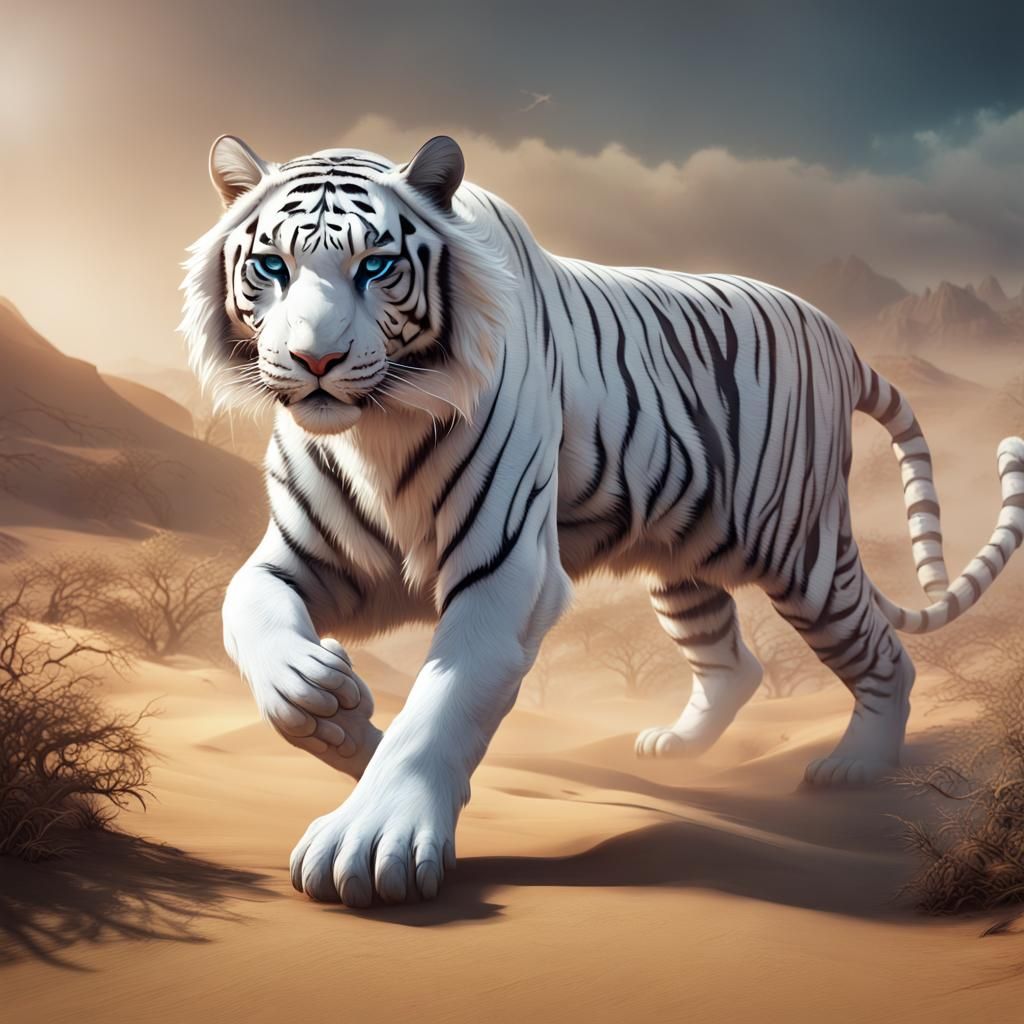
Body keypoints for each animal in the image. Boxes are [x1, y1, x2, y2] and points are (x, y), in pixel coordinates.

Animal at [181, 133, 1024, 907]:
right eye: (272, 267)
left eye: (376, 268)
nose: (315, 361)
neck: (374, 429)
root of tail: (838, 336)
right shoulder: (306, 560)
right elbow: (244, 608)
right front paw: (329, 706)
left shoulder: (507, 573)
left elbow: (442, 703)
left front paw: (370, 834)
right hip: (682, 557)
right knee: (733, 662)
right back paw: (675, 747)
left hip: (799, 551)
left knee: (884, 657)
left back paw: (855, 766)